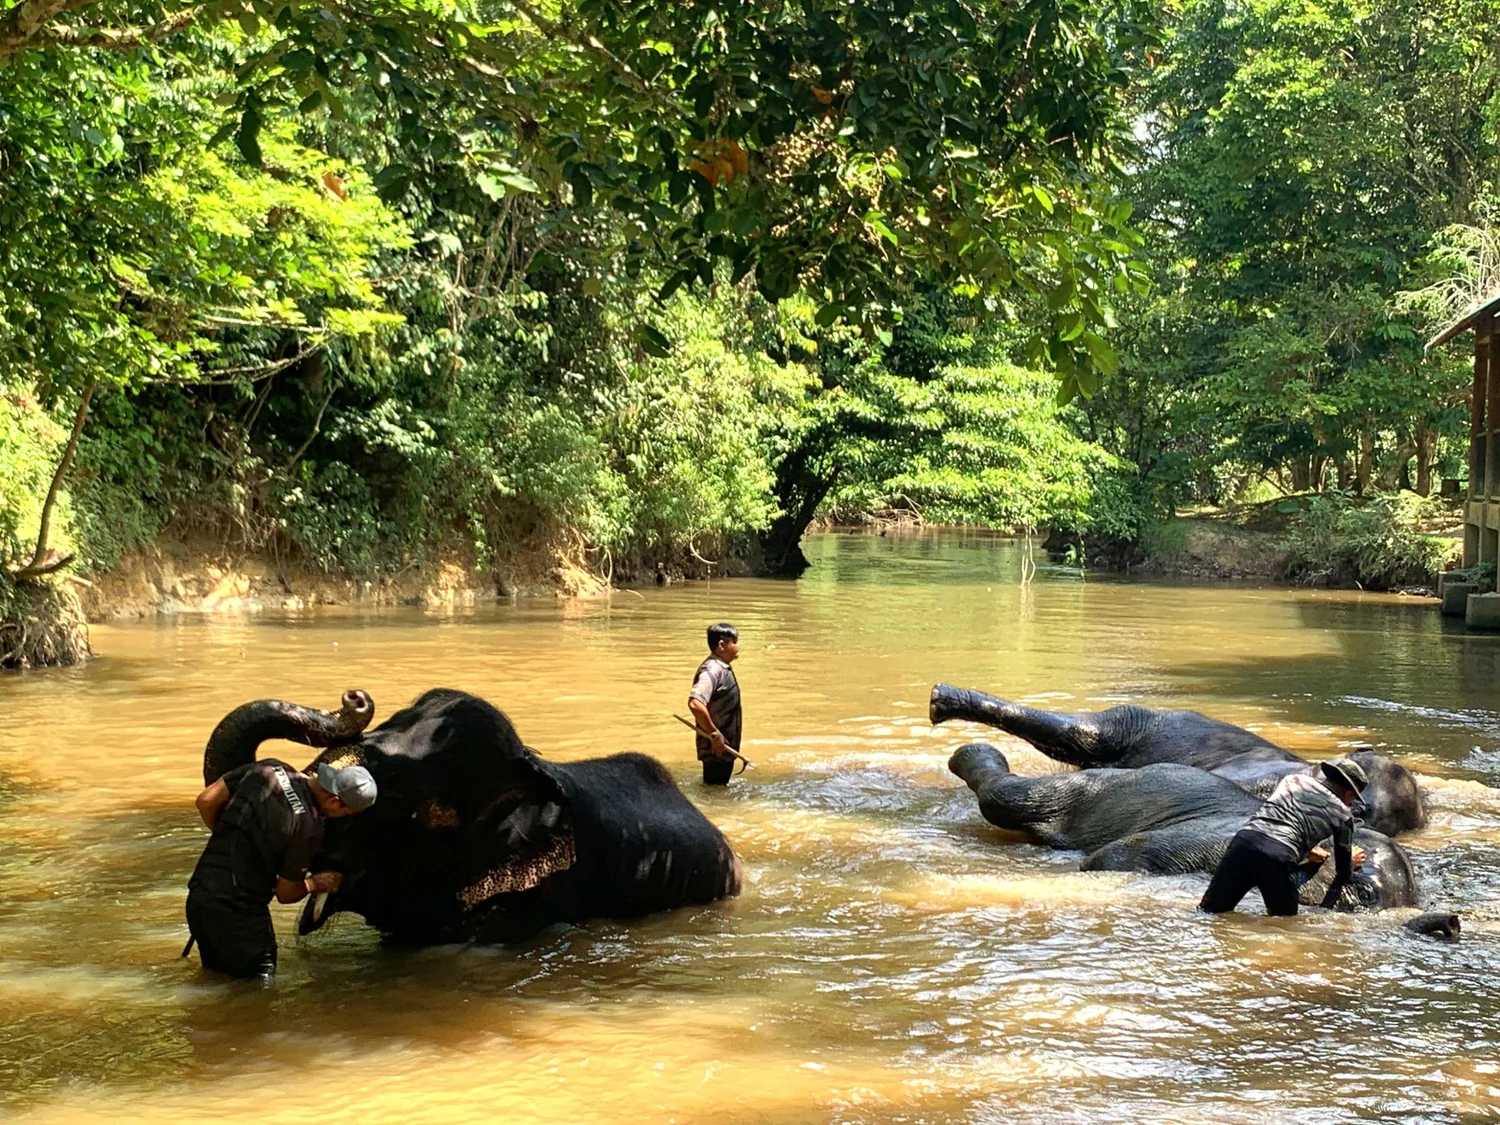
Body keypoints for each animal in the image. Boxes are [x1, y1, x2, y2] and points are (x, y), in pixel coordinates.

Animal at [930, 684, 1425, 838]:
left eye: (1370, 815)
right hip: (1152, 721)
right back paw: (941, 701)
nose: (1357, 815)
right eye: (1360, 796)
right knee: (1083, 732)